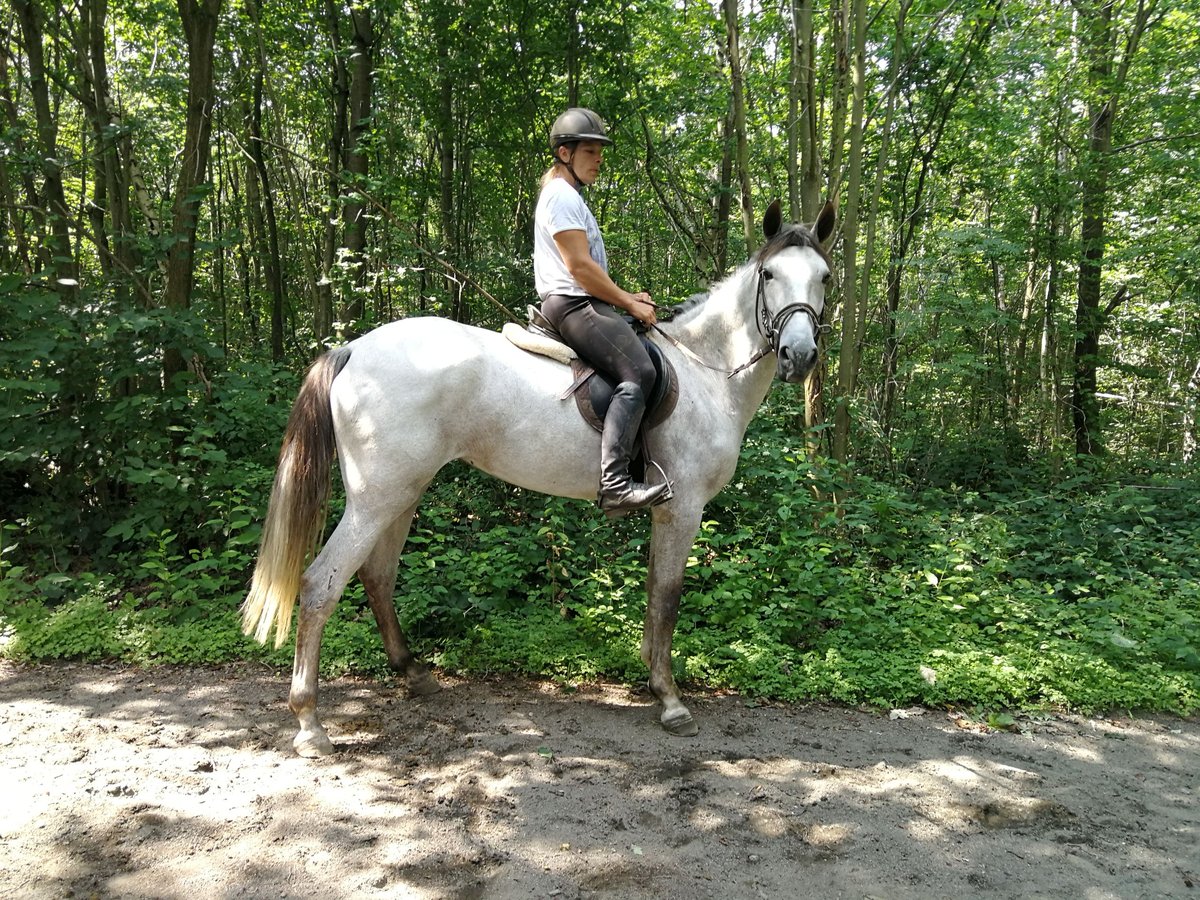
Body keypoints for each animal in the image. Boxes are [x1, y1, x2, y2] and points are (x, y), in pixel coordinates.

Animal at [240, 200, 840, 758]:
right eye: (769, 275)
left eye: (825, 276)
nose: (799, 355)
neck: (704, 373)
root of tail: (352, 348)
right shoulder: (682, 507)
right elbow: (667, 597)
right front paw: (669, 701)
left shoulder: (669, 513)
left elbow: (653, 594)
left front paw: (652, 678)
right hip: (375, 499)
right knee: (321, 584)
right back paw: (310, 722)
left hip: (400, 495)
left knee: (377, 576)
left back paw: (413, 673)